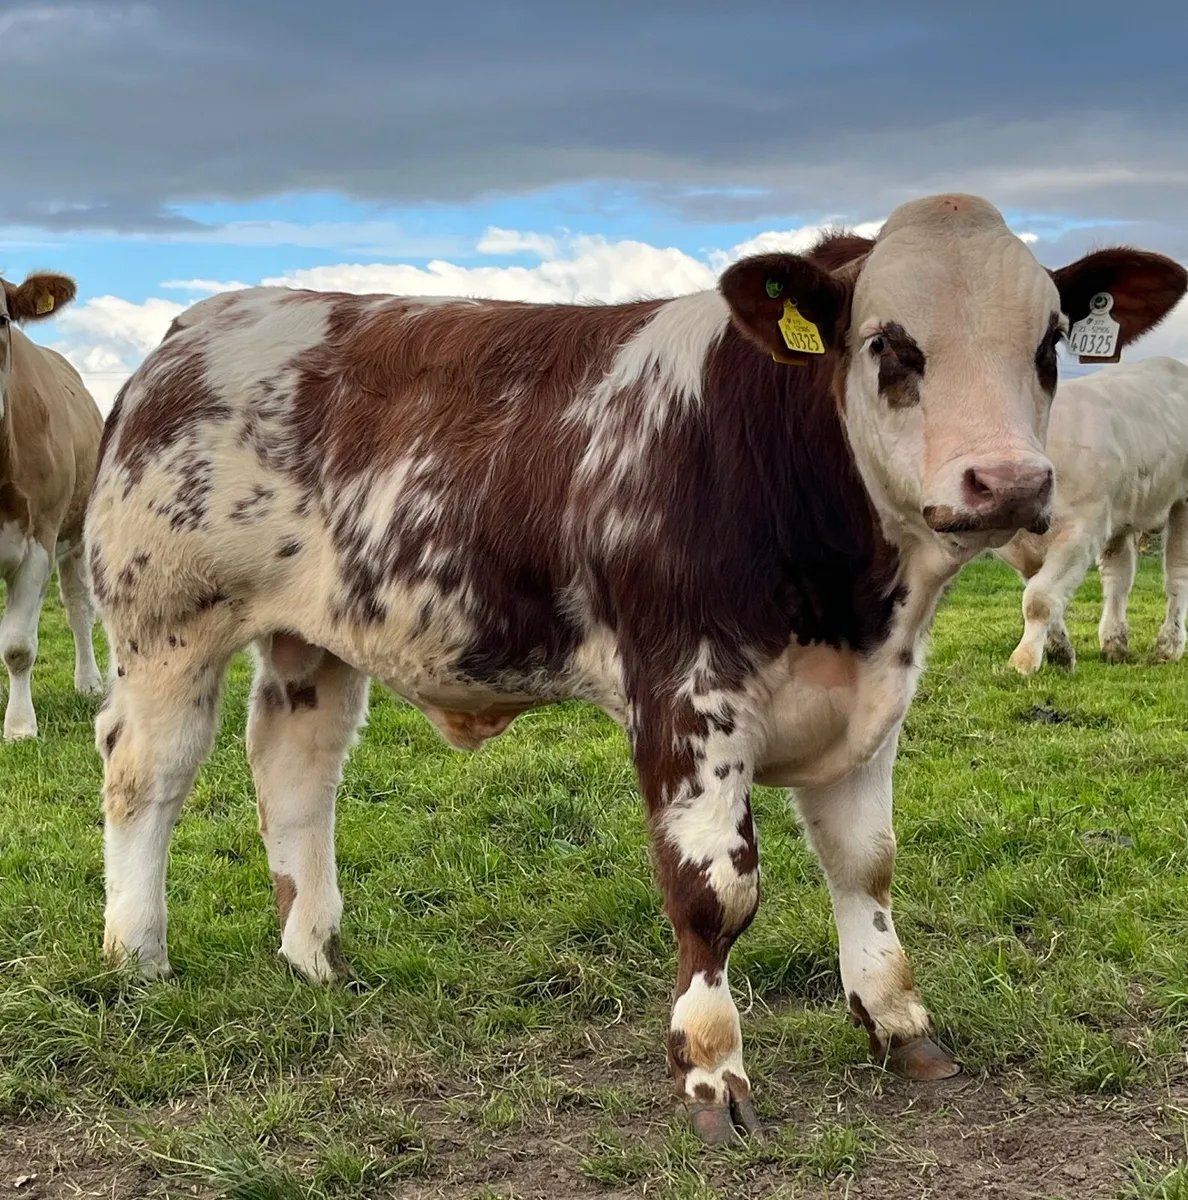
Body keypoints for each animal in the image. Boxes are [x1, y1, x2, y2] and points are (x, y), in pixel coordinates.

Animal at [999, 357, 1188, 674]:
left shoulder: (1081, 531)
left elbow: (1038, 599)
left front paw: (1023, 661)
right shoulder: (1021, 549)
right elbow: (1043, 594)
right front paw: (1061, 652)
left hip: (1181, 505)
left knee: (1177, 575)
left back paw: (1168, 647)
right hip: (1119, 514)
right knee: (1118, 578)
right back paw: (1115, 644)